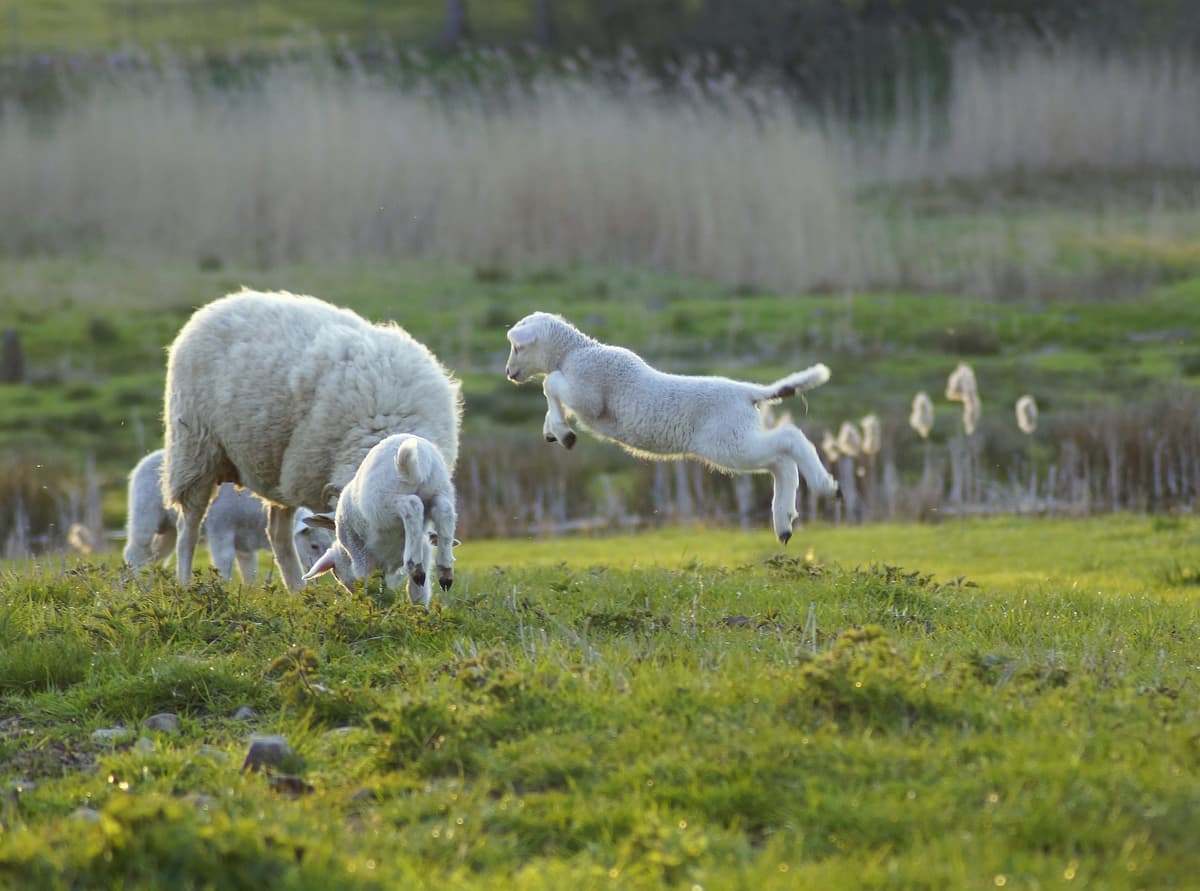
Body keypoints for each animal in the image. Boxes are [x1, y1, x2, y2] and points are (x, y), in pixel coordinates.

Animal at [125, 449, 335, 581]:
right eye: (314, 545)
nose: (322, 575)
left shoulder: (245, 544)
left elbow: (250, 572)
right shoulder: (221, 528)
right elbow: (223, 562)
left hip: (169, 531)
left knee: (153, 557)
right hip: (144, 515)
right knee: (134, 552)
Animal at [301, 433, 457, 606]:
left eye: (336, 573)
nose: (352, 593)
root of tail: (423, 458)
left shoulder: (360, 552)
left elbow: (370, 582)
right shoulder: (422, 547)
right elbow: (416, 592)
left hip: (383, 501)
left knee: (411, 505)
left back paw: (415, 566)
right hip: (439, 489)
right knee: (444, 510)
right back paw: (445, 572)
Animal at [504, 311, 837, 543]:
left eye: (517, 347)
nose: (508, 373)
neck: (574, 352)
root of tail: (749, 392)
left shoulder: (588, 394)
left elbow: (550, 383)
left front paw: (564, 432)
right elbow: (551, 392)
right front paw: (554, 430)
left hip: (730, 441)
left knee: (789, 440)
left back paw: (825, 486)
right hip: (735, 441)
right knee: (780, 463)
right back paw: (784, 521)